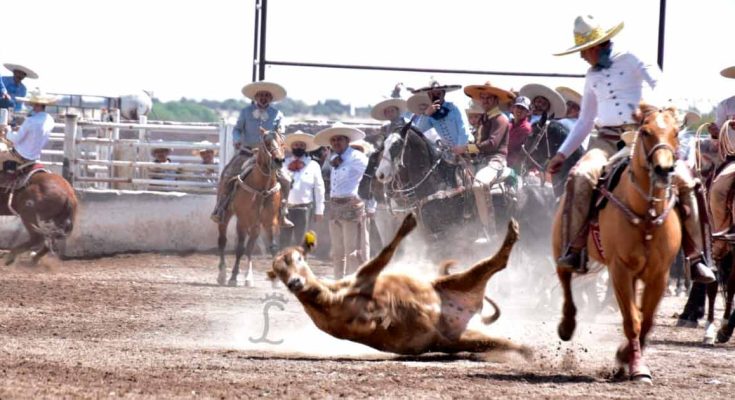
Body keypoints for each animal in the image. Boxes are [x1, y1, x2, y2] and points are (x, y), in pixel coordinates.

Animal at [216, 130, 284, 286]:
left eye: (282, 142)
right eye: (267, 143)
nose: (279, 160)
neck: (263, 188)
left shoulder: (270, 222)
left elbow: (272, 247)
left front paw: (276, 281)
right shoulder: (242, 221)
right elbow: (240, 248)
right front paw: (233, 277)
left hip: (256, 225)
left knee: (251, 246)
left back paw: (248, 276)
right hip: (226, 215)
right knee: (222, 241)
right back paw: (222, 274)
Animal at [268, 212, 532, 356]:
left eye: (298, 258)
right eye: (279, 272)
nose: (293, 282)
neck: (328, 295)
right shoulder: (365, 276)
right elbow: (385, 252)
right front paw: (407, 224)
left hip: (458, 308)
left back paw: (526, 350)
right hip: (463, 327)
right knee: (498, 263)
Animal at [556, 104, 680, 382]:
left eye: (676, 132)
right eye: (645, 132)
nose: (663, 169)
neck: (646, 215)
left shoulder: (660, 275)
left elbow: (646, 320)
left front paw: (625, 357)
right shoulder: (620, 270)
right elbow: (632, 321)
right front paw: (638, 367)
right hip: (560, 248)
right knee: (565, 280)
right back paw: (566, 326)